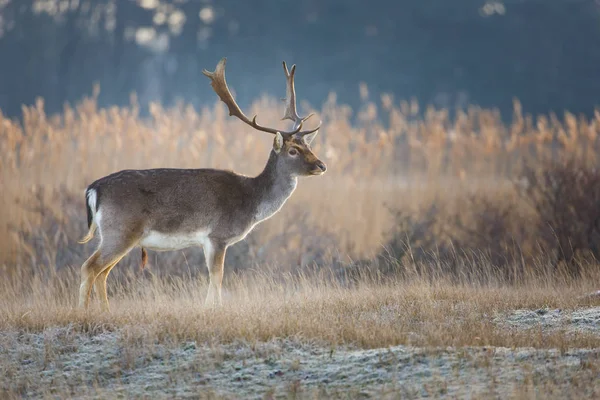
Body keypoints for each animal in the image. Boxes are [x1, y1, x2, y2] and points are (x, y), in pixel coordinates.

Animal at [78, 57, 328, 310]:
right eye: (293, 150)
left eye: (309, 146)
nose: (321, 165)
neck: (250, 200)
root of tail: (93, 189)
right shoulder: (218, 235)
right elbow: (217, 277)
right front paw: (215, 309)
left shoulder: (209, 241)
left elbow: (212, 278)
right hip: (121, 229)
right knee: (90, 267)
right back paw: (84, 311)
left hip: (114, 234)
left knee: (102, 273)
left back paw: (106, 312)